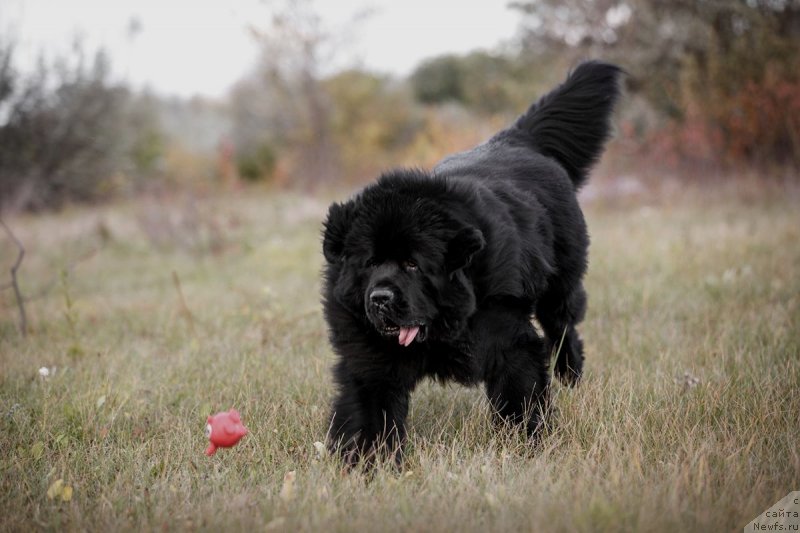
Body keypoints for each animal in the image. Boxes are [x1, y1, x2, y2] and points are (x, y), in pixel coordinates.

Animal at [322, 60, 620, 464]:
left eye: (413, 264)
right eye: (369, 264)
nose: (380, 298)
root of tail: (516, 140)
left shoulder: (507, 339)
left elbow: (520, 397)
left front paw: (528, 446)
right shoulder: (368, 359)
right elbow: (369, 412)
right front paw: (369, 462)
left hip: (561, 285)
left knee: (563, 328)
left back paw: (571, 378)